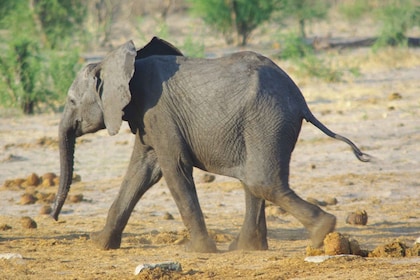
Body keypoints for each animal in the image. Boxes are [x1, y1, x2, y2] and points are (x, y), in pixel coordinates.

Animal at [52, 36, 370, 253]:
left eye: (71, 101)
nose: (54, 217)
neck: (125, 65)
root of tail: (301, 100)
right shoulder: (147, 119)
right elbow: (141, 172)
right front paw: (99, 244)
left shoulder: (157, 112)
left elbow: (173, 169)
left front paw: (197, 251)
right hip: (264, 122)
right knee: (253, 180)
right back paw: (245, 249)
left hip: (267, 117)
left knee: (261, 181)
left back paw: (321, 232)